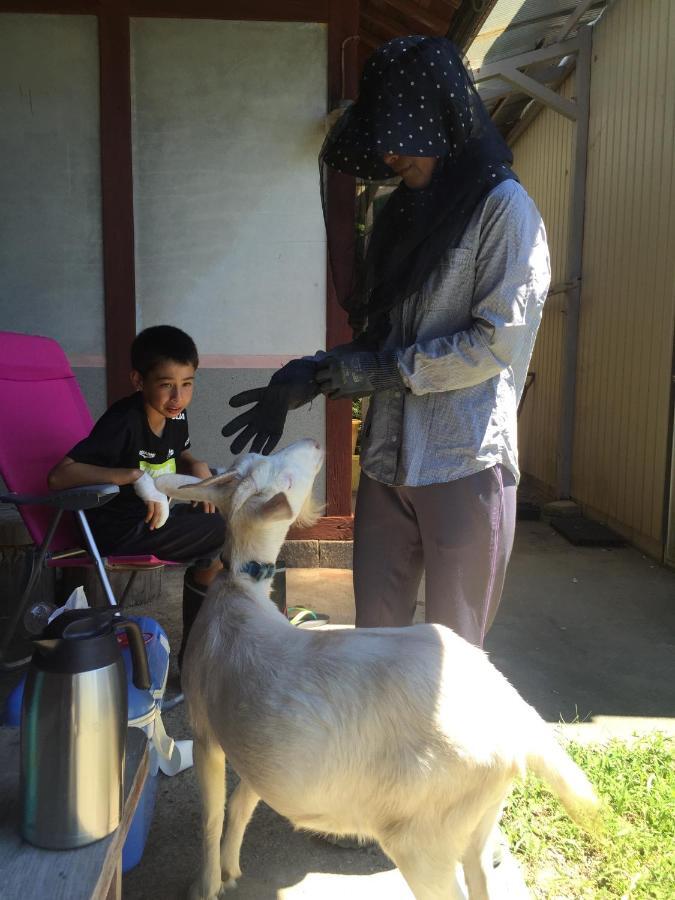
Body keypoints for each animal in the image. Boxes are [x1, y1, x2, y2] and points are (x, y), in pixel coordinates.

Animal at [157, 442, 596, 900]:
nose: (314, 445)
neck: (241, 592)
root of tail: (519, 722)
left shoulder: (205, 728)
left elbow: (211, 815)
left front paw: (205, 886)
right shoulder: (245, 748)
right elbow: (239, 805)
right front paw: (228, 870)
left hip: (423, 836)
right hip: (480, 816)